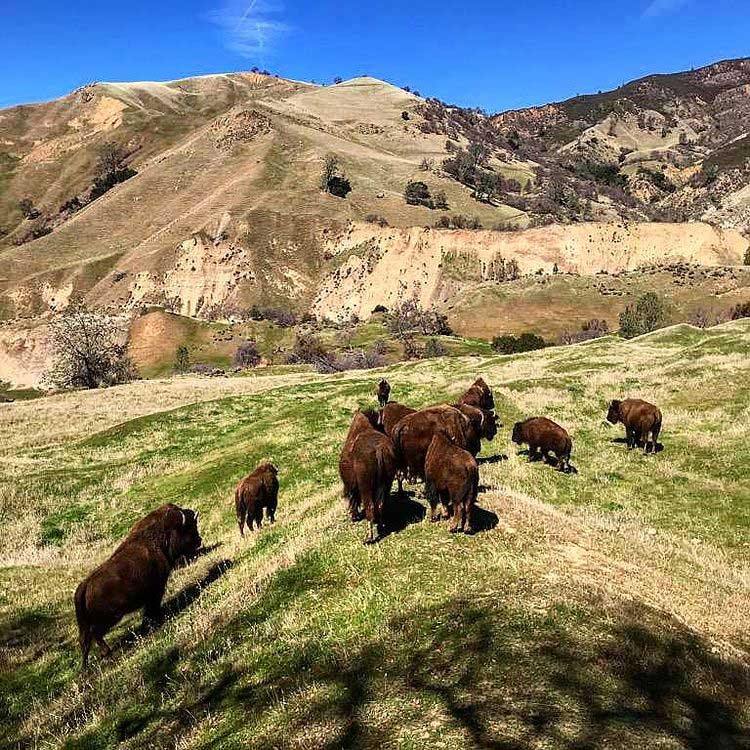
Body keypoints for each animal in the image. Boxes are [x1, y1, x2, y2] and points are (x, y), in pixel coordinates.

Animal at [74, 504, 202, 667]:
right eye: (190, 527)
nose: (199, 540)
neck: (160, 537)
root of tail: (85, 585)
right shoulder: (156, 589)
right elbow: (152, 607)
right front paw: (154, 621)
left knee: (85, 639)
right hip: (111, 617)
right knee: (95, 633)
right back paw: (106, 652)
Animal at [339, 410, 397, 544]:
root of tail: (379, 449)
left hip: (365, 487)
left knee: (369, 506)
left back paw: (368, 538)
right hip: (386, 482)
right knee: (380, 504)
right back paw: (381, 525)